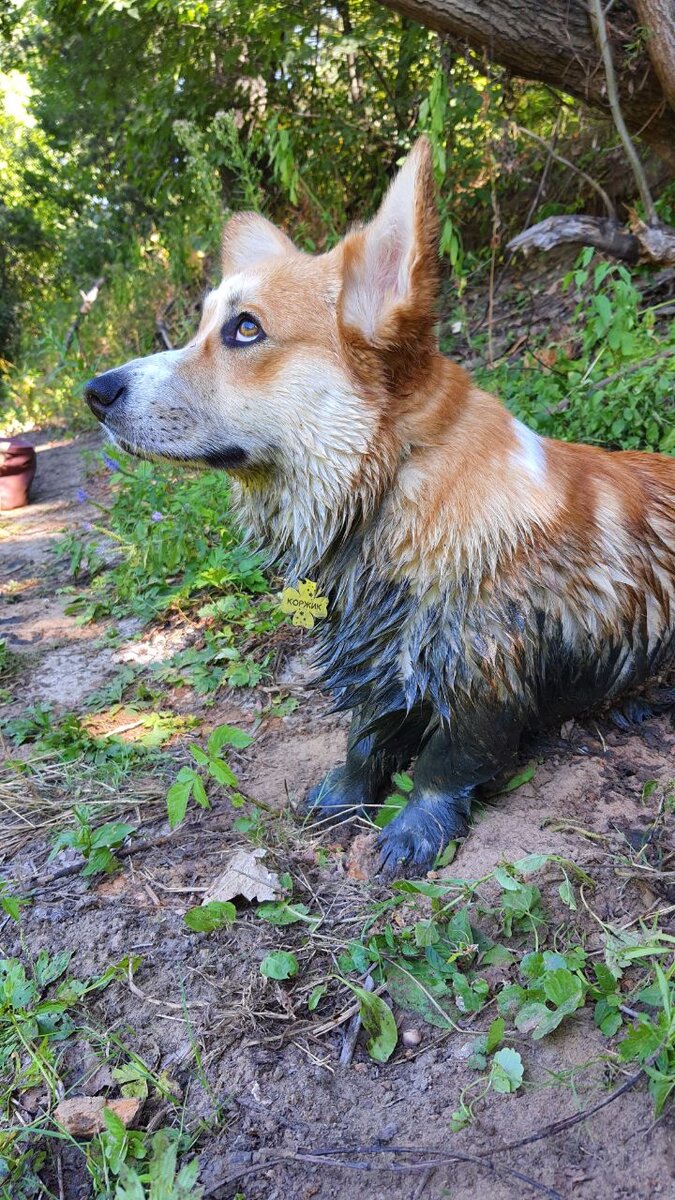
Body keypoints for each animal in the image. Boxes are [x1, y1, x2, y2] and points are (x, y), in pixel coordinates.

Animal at [86, 140, 672, 878]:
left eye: (245, 329)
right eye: (201, 325)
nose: (94, 393)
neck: (392, 483)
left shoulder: (481, 676)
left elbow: (444, 765)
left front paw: (413, 830)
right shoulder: (376, 658)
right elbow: (365, 739)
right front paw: (343, 795)